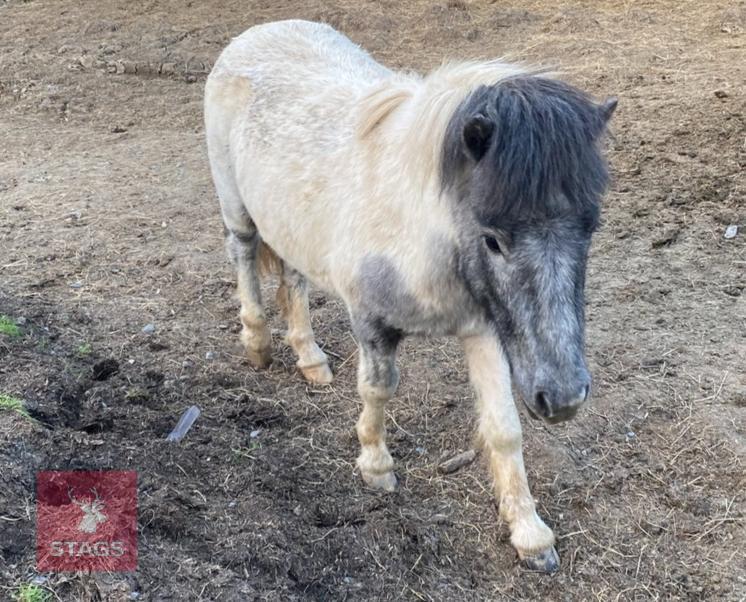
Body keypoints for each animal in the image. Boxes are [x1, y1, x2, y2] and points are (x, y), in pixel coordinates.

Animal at [204, 19, 616, 573]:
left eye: (590, 226)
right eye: (493, 239)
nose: (564, 398)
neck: (419, 230)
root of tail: (257, 33)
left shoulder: (484, 328)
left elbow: (504, 427)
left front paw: (530, 534)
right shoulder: (371, 323)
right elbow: (377, 390)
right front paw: (376, 467)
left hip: (289, 226)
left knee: (294, 280)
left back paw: (310, 359)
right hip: (238, 211)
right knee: (245, 257)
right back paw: (257, 344)